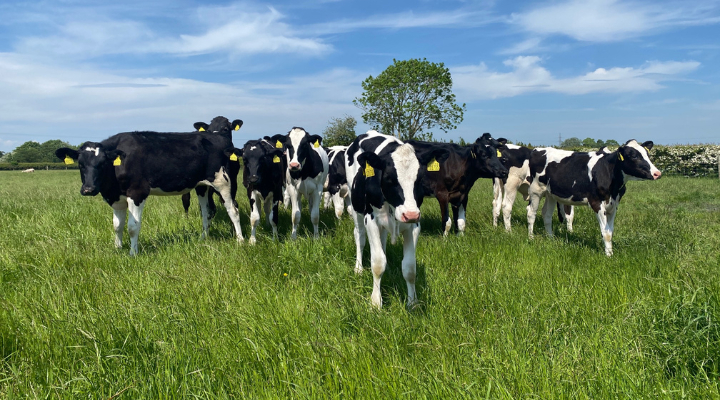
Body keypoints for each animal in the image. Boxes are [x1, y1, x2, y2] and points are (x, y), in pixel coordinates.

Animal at [344, 130, 450, 308]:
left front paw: (413, 303)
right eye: (389, 178)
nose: (410, 214)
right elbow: (377, 263)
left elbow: (410, 267)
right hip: (356, 207)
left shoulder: (414, 226)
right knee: (359, 236)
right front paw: (375, 302)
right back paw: (358, 268)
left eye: (420, 179)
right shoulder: (371, 220)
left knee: (383, 241)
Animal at [524, 139, 660, 255]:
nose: (657, 173)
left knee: (546, 214)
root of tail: (536, 150)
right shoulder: (597, 203)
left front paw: (610, 252)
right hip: (536, 190)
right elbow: (605, 232)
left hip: (551, 194)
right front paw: (608, 256)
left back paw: (551, 238)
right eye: (634, 156)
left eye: (647, 155)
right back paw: (531, 237)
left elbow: (610, 231)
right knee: (531, 213)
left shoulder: (614, 205)